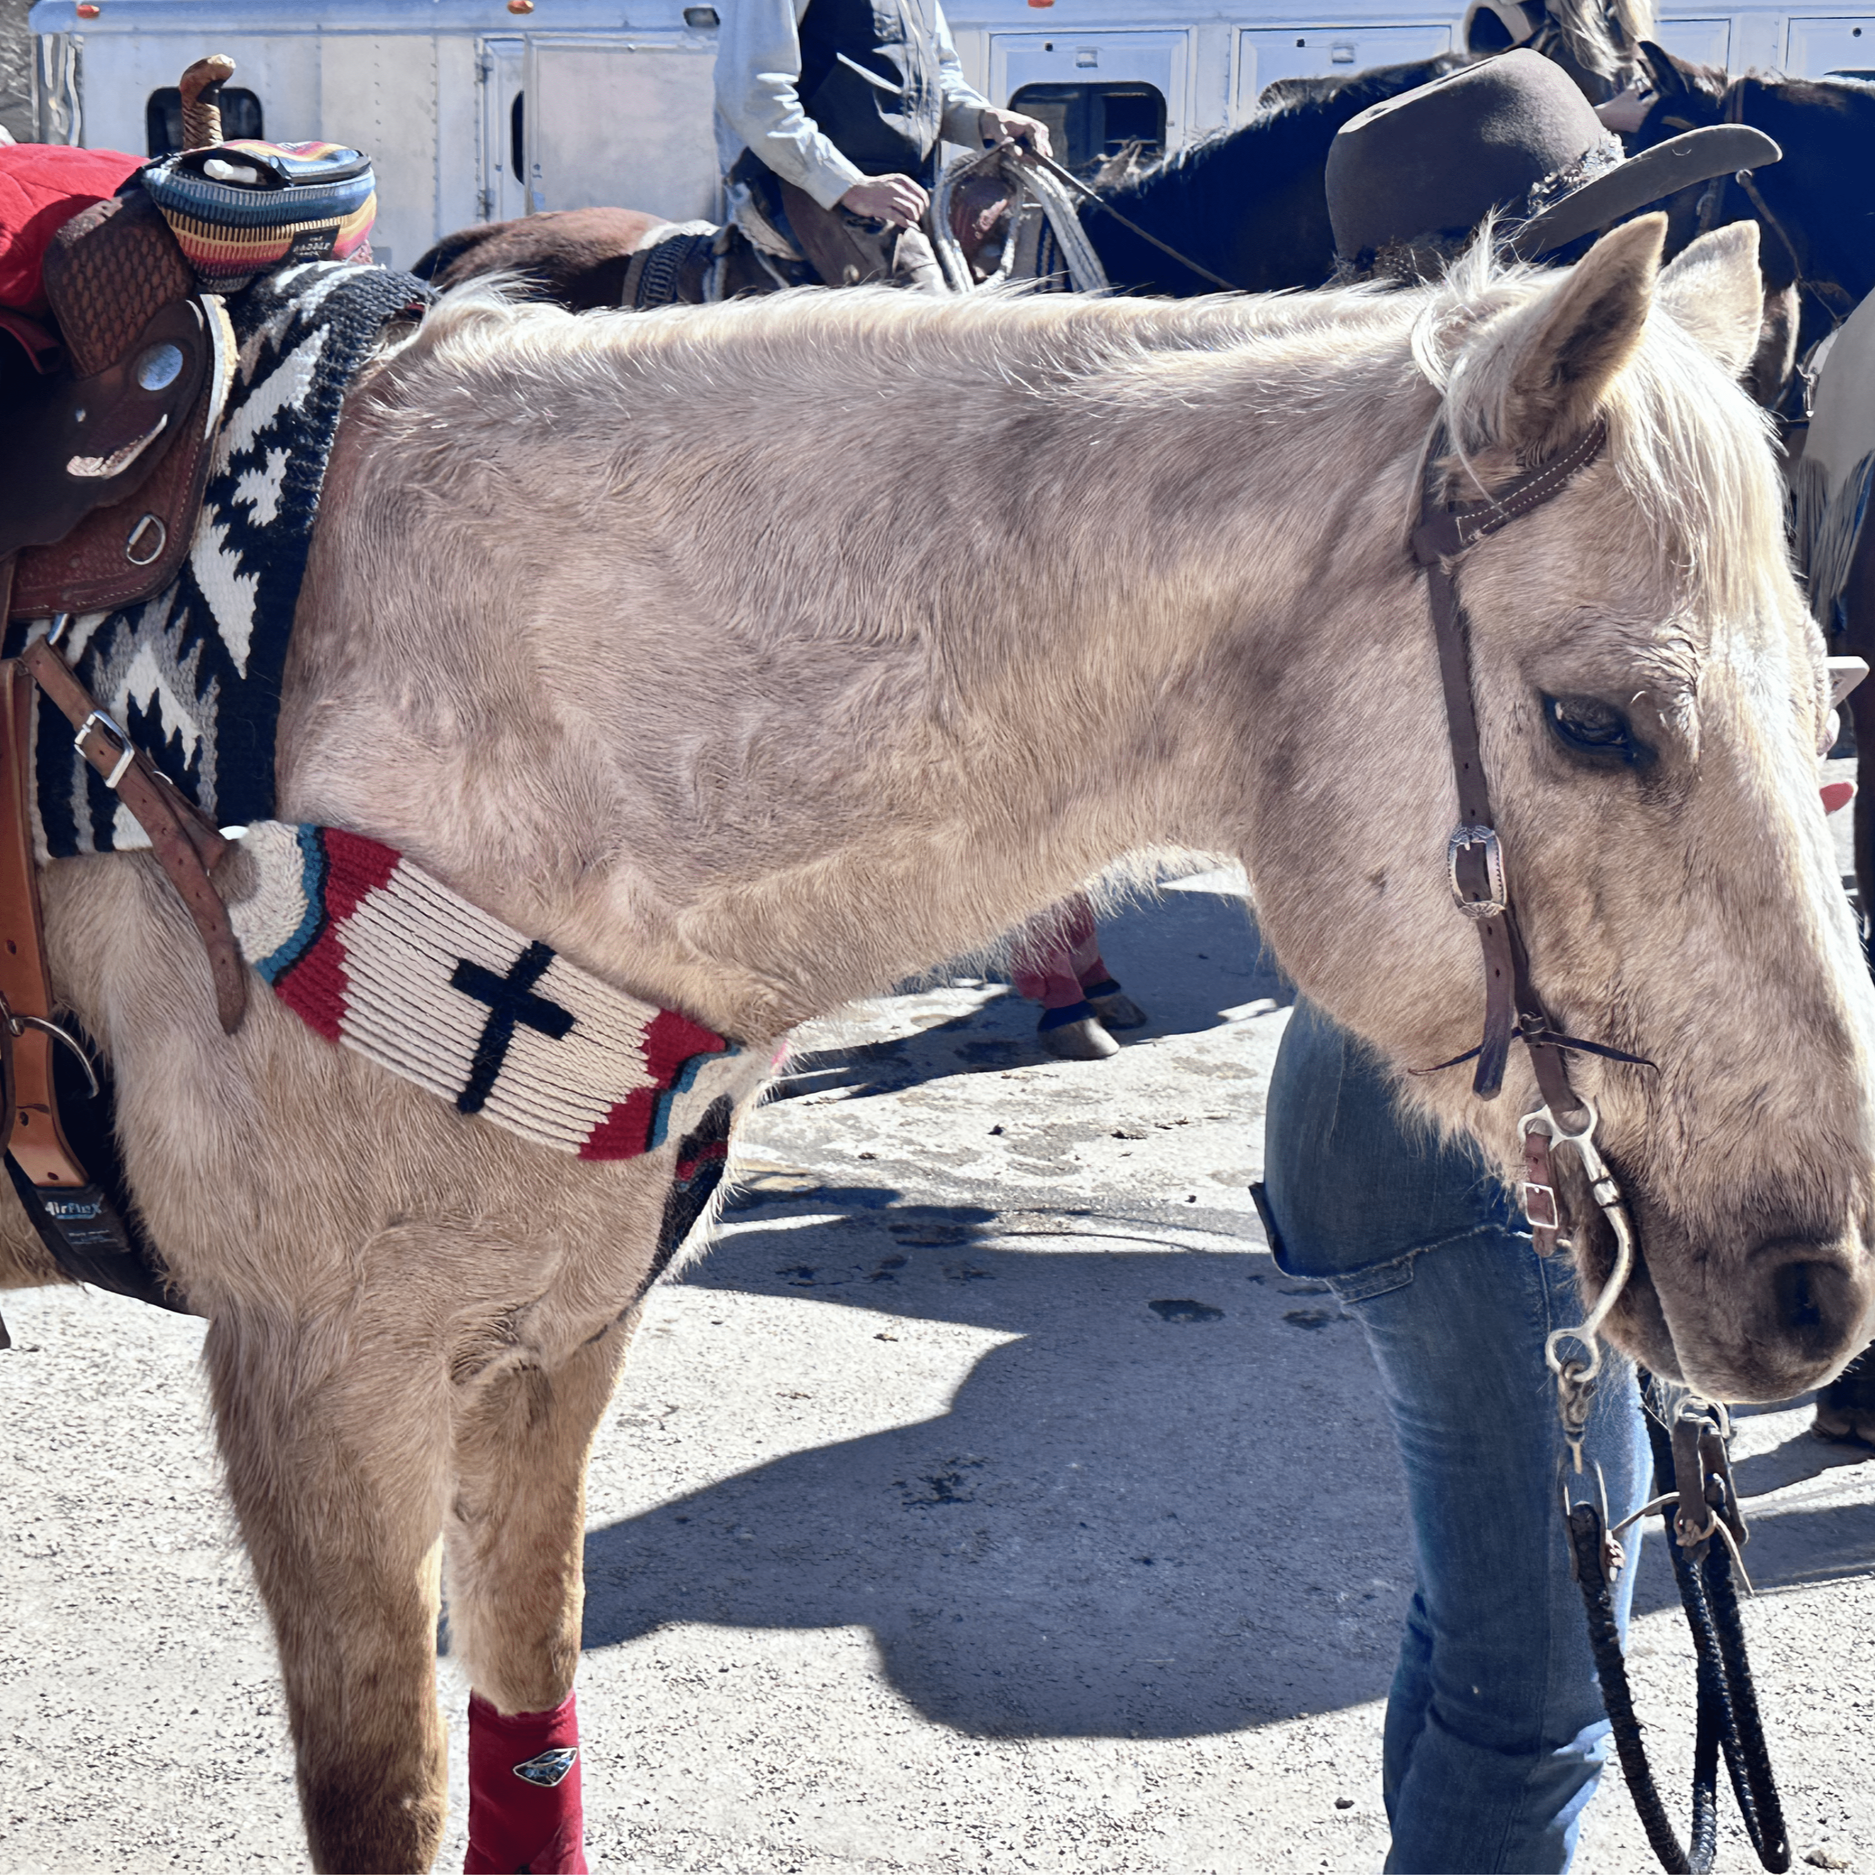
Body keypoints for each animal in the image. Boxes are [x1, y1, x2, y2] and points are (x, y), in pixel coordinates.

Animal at [4, 216, 1870, 1872]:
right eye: (1591, 723)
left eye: (1825, 704)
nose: (1820, 1283)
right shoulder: (322, 1393)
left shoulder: (548, 1354)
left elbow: (527, 1746)